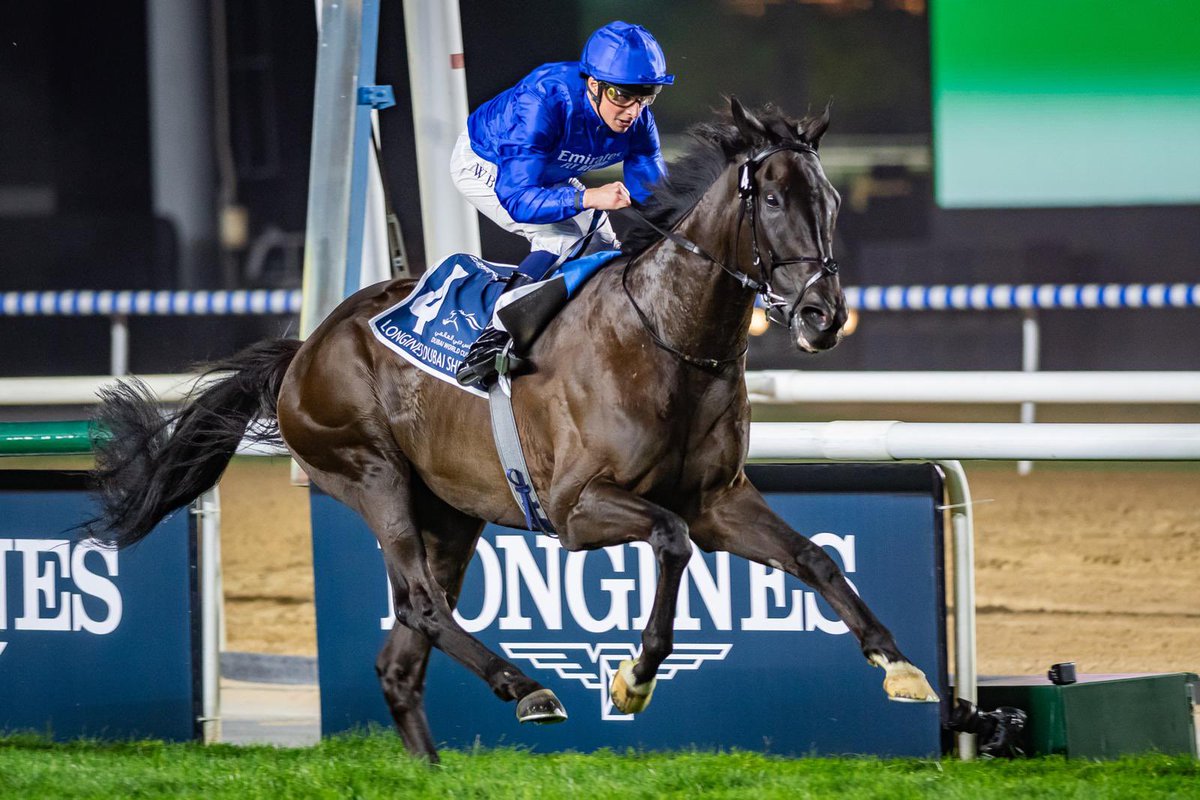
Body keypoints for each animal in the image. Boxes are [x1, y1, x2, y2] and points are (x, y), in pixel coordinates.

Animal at [88, 97, 938, 762]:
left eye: (831, 202)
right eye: (772, 203)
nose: (822, 316)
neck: (668, 339)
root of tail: (306, 348)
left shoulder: (718, 499)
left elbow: (815, 557)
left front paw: (900, 666)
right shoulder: (576, 508)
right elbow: (670, 542)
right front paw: (633, 677)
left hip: (450, 513)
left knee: (402, 654)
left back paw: (437, 764)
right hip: (370, 474)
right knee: (423, 606)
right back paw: (524, 686)